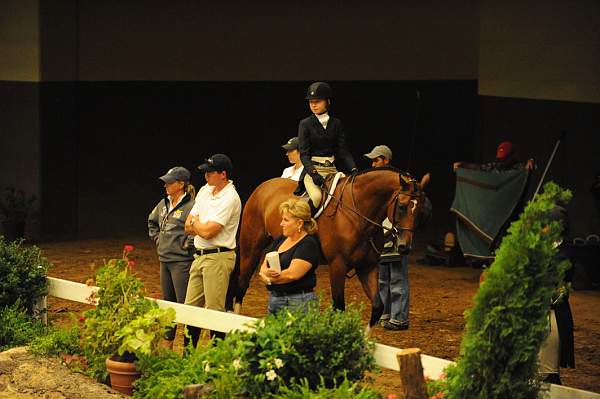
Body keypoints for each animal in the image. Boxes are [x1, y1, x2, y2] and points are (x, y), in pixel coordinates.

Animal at [232, 167, 428, 326]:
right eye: (402, 206)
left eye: (420, 211)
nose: (404, 246)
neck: (358, 216)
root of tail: (262, 188)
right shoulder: (338, 265)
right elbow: (339, 307)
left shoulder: (367, 266)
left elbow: (378, 306)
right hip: (252, 249)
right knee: (241, 285)